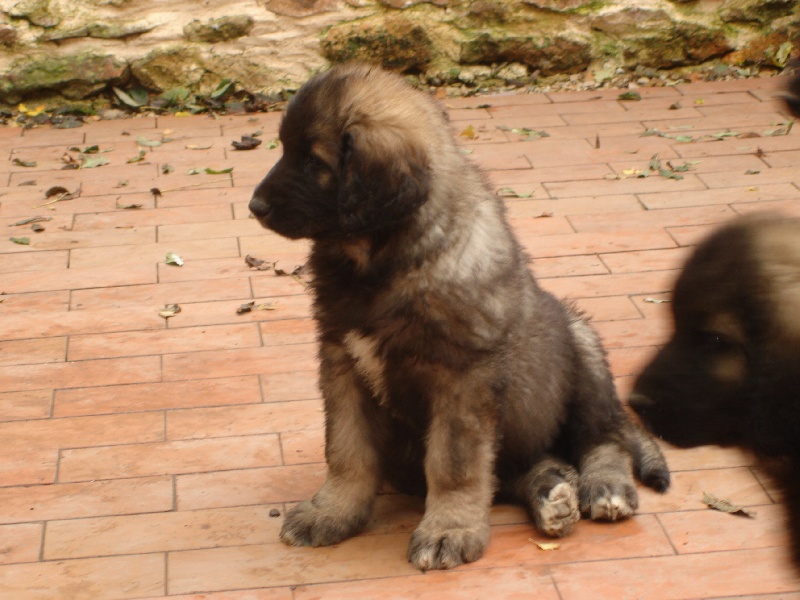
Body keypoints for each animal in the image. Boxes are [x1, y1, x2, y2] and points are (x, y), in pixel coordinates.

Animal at [248, 63, 668, 568]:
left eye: (314, 161)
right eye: (285, 149)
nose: (255, 207)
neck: (383, 261)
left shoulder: (461, 379)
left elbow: (453, 465)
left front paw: (448, 530)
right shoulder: (342, 361)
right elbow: (347, 449)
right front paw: (331, 512)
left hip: (582, 346)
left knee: (604, 438)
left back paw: (604, 486)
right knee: (527, 469)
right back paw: (551, 495)